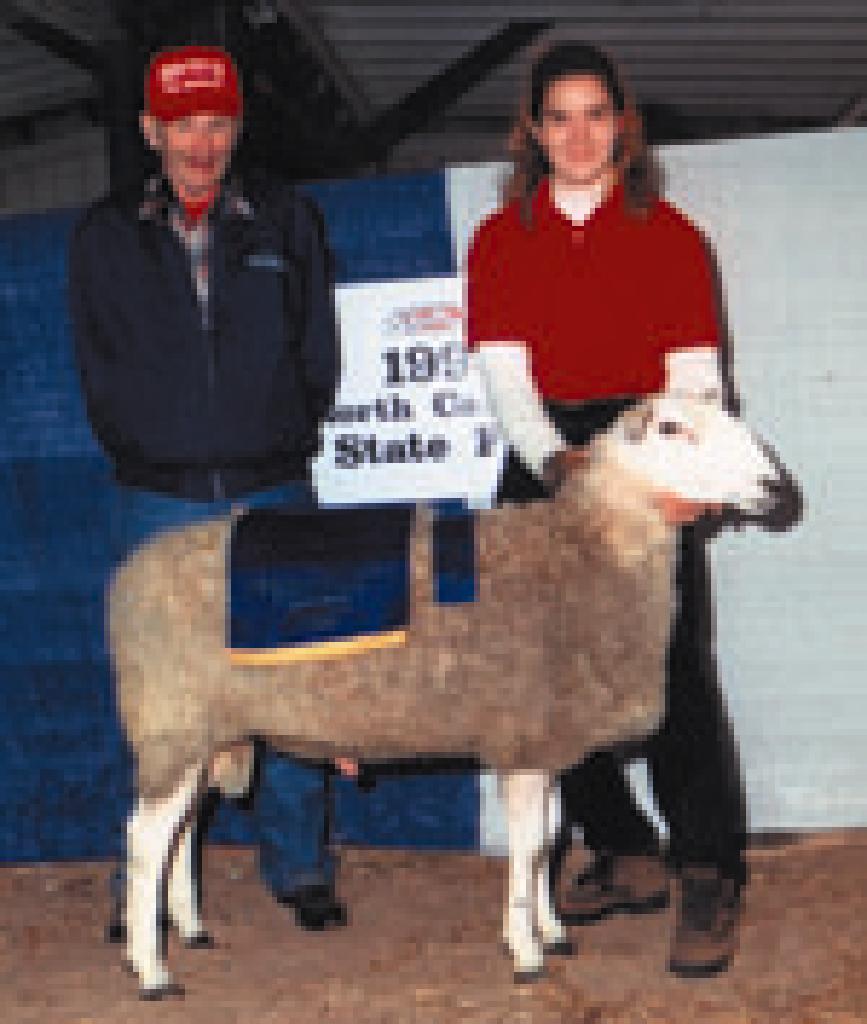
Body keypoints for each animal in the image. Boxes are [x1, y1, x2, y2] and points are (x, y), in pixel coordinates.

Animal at [108, 395, 777, 995]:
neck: (586, 551)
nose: (773, 486)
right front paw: (525, 954)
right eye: (671, 427)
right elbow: (530, 847)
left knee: (185, 829)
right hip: (174, 721)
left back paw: (191, 930)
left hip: (203, 729)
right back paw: (151, 970)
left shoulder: (542, 742)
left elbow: (550, 841)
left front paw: (552, 932)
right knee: (145, 840)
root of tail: (130, 574)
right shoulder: (521, 740)